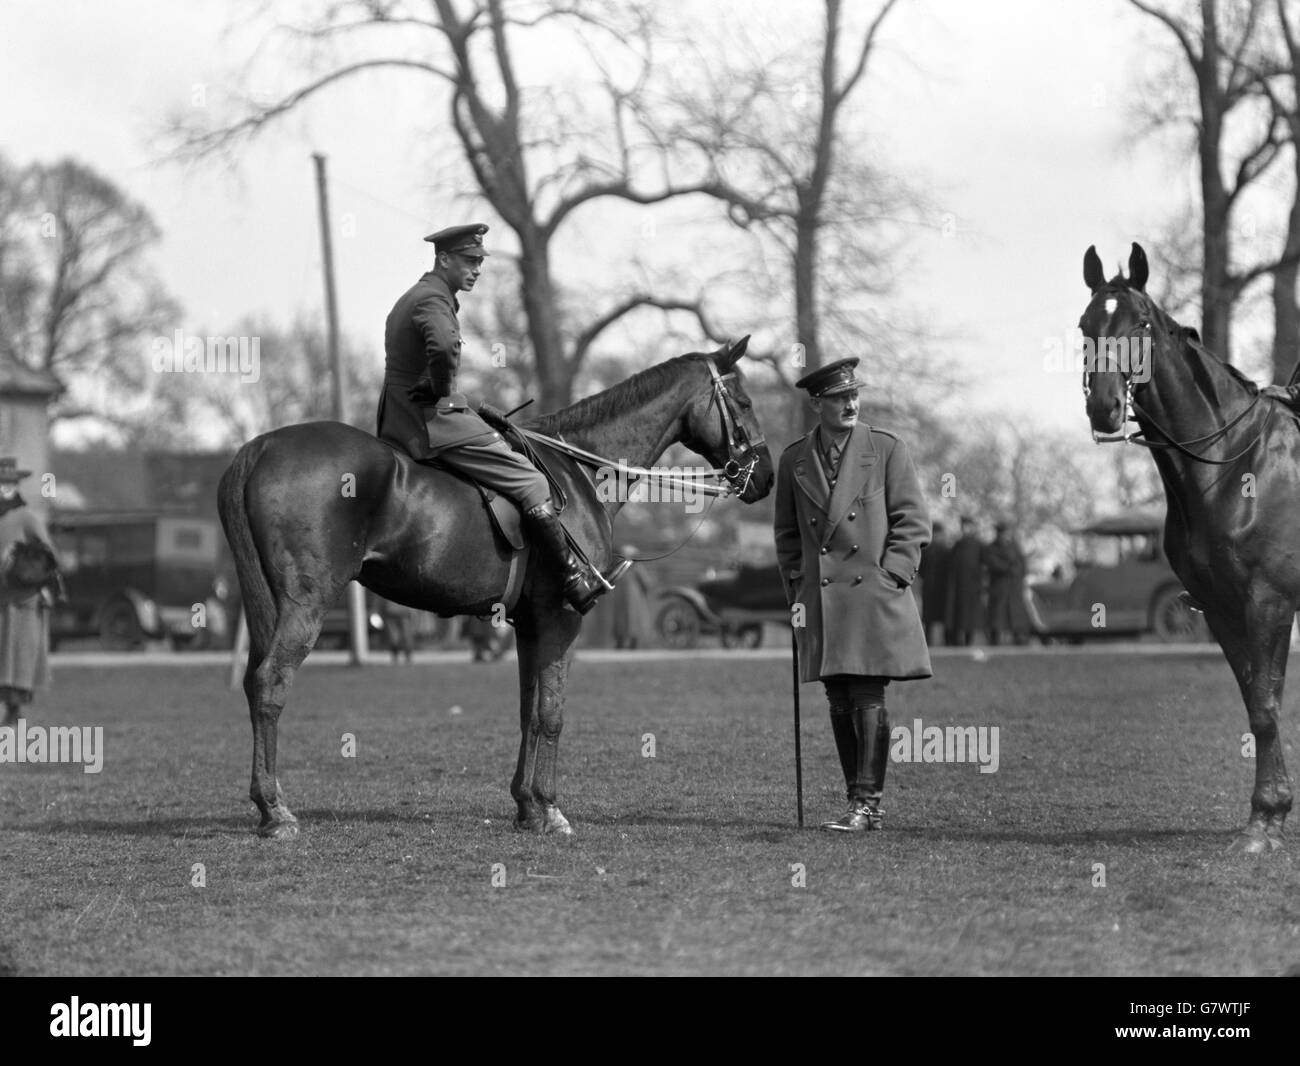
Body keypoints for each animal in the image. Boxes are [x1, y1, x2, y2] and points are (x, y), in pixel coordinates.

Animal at [219, 338, 774, 837]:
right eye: (744, 402)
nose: (765, 476)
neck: (579, 469)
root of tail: (261, 447)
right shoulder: (561, 619)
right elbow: (552, 713)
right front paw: (550, 809)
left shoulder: (528, 625)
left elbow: (529, 711)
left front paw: (527, 806)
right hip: (306, 605)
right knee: (270, 684)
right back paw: (276, 811)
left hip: (270, 609)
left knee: (251, 682)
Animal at [1081, 245, 1294, 852]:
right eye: (1084, 326)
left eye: (1141, 324)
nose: (1105, 406)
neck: (1232, 462)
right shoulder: (1220, 607)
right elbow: (1257, 703)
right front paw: (1269, 815)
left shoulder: (1269, 601)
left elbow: (1266, 706)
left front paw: (1265, 821)